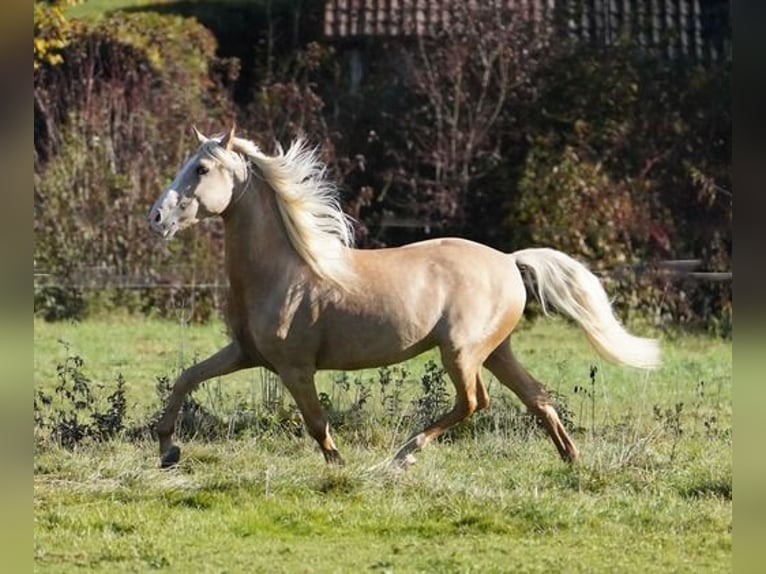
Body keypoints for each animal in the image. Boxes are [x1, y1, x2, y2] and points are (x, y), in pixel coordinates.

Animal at [148, 125, 660, 468]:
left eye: (202, 168)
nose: (156, 218)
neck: (284, 271)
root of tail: (509, 260)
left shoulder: (295, 368)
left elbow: (316, 422)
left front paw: (339, 467)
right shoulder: (245, 353)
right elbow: (187, 378)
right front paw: (168, 448)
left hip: (461, 352)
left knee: (475, 402)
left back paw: (404, 455)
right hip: (496, 351)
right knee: (536, 397)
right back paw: (572, 460)